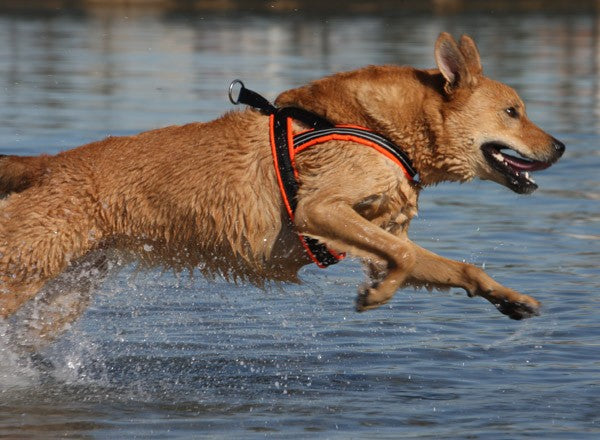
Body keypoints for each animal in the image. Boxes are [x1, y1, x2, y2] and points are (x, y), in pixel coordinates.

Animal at [0, 33, 564, 344]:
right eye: (513, 111)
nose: (560, 147)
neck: (382, 126)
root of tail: (51, 164)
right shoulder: (318, 209)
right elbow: (400, 260)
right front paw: (377, 294)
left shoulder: (376, 230)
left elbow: (457, 267)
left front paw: (511, 300)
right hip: (24, 264)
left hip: (65, 290)